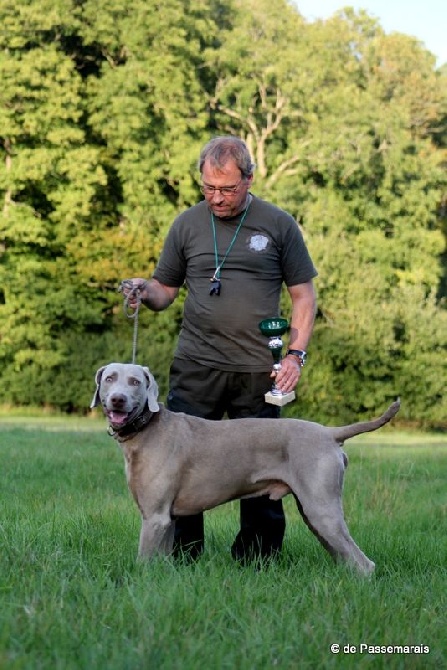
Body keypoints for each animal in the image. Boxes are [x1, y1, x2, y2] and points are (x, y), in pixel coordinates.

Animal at [92, 364, 402, 576]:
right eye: (110, 378)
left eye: (135, 382)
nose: (117, 399)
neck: (147, 430)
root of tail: (329, 433)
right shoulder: (167, 518)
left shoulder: (154, 518)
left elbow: (143, 560)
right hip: (314, 512)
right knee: (345, 557)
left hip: (321, 508)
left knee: (364, 563)